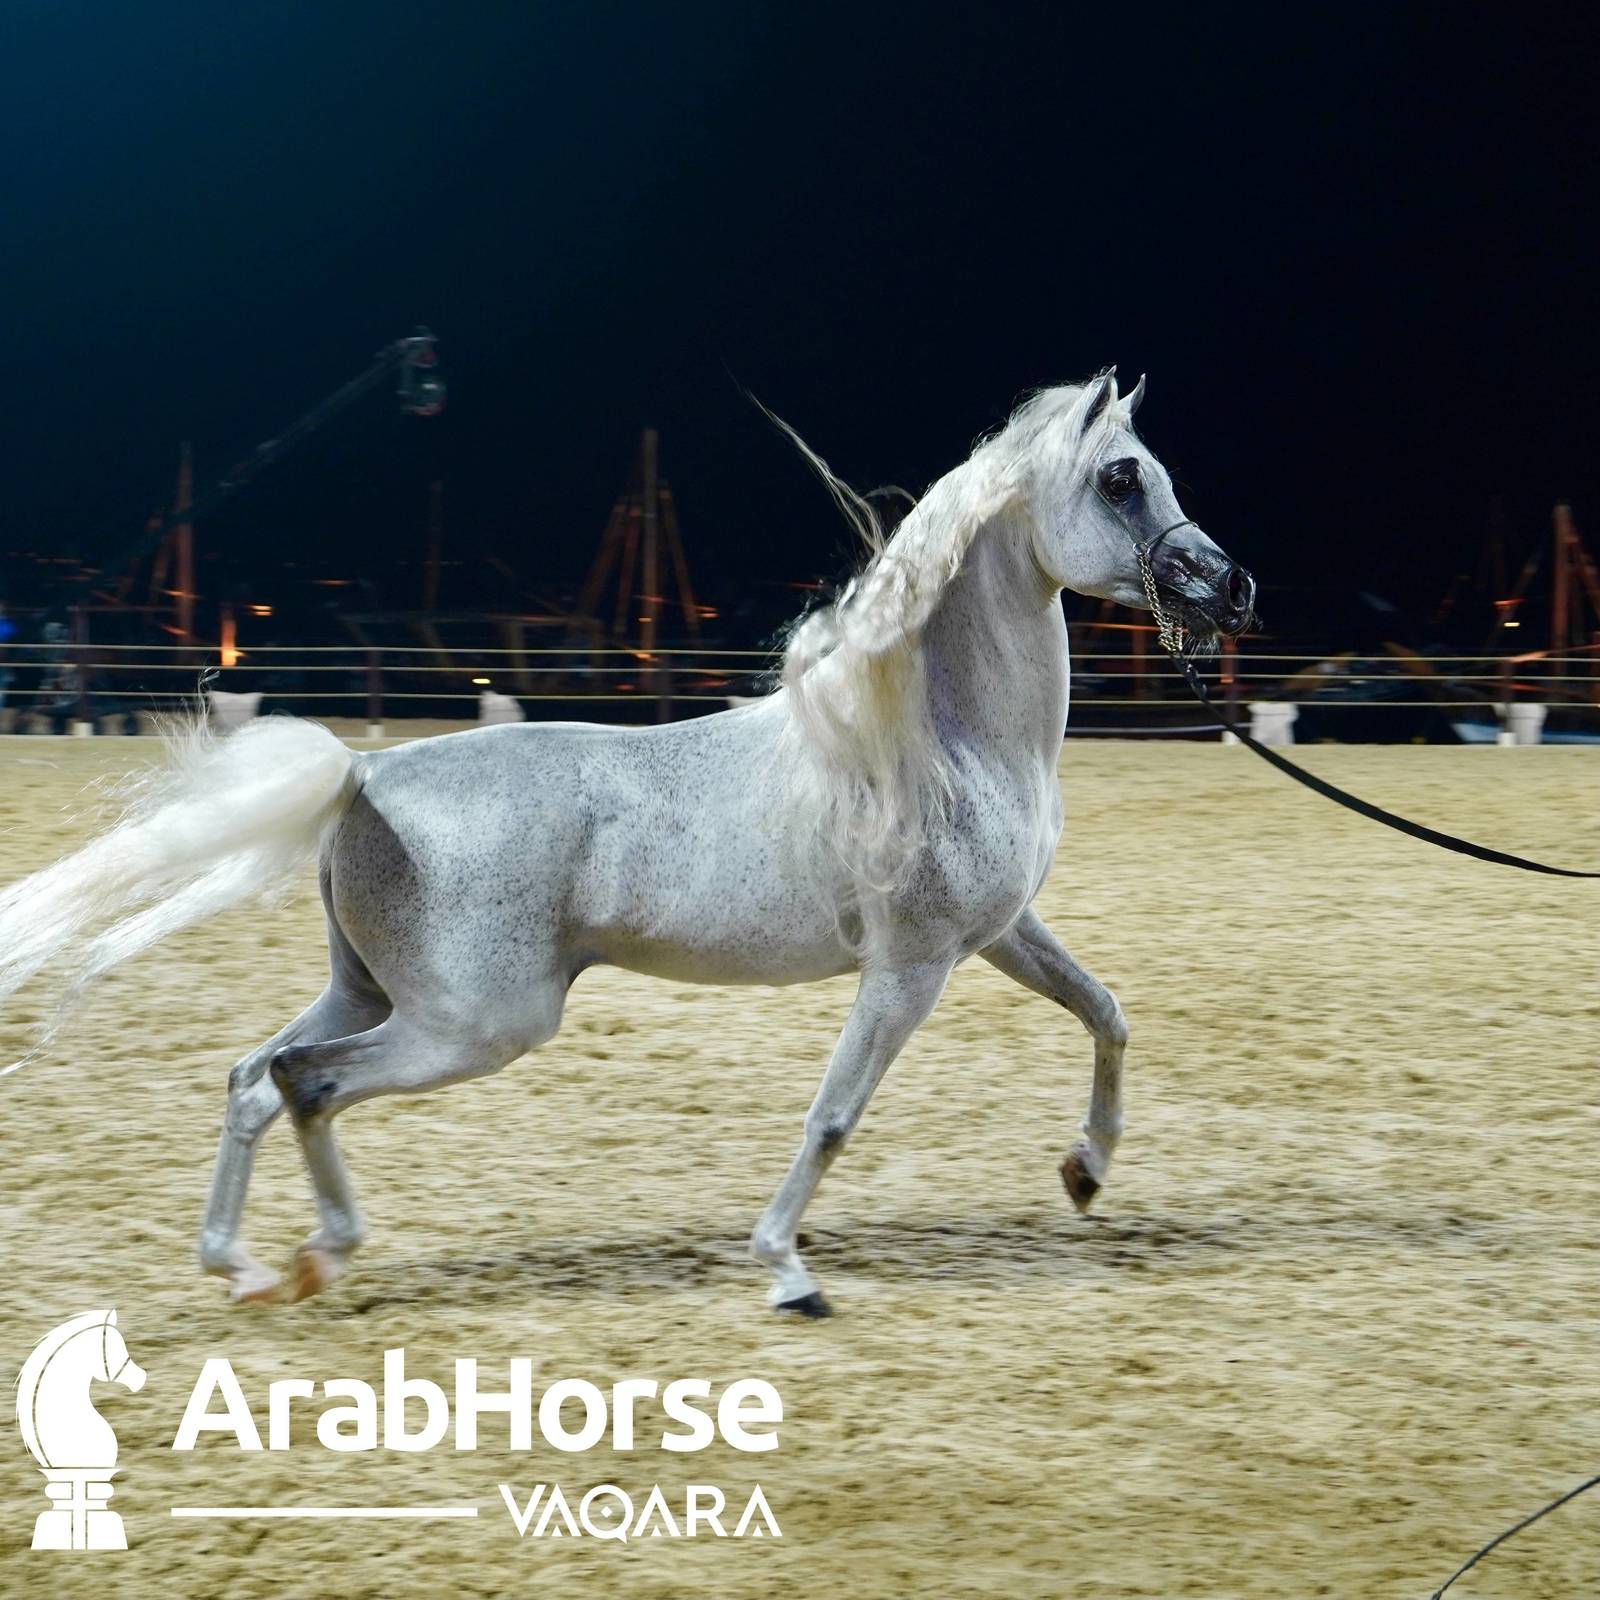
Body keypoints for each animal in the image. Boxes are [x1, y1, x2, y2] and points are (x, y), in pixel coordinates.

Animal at [0, 369, 1255, 1316]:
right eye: (1120, 476)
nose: (1231, 587)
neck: (931, 738)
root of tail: (366, 774)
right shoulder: (912, 964)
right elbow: (834, 1113)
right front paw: (786, 1271)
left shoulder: (998, 932)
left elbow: (1106, 1014)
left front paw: (1085, 1173)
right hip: (475, 1022)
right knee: (303, 1081)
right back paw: (320, 1253)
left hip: (374, 991)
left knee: (252, 1077)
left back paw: (247, 1265)